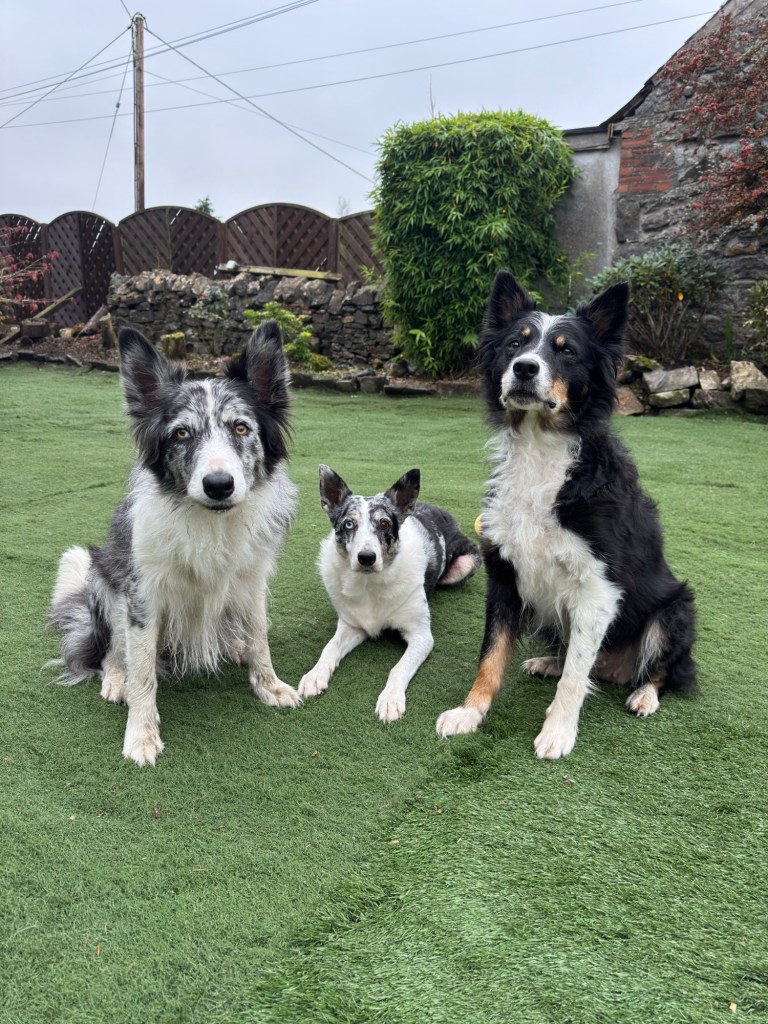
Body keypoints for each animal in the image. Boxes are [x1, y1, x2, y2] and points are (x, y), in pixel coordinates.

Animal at [48, 322, 300, 766]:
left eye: (241, 427)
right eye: (182, 433)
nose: (219, 485)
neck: (210, 524)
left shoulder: (252, 580)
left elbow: (260, 635)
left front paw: (269, 686)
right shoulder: (141, 596)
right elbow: (143, 673)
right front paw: (141, 734)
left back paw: (233, 646)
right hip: (103, 579)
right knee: (111, 650)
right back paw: (116, 678)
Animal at [298, 466, 482, 721]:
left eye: (384, 524)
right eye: (348, 524)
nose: (366, 558)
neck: (370, 584)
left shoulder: (421, 636)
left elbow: (398, 668)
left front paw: (390, 699)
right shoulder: (352, 626)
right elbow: (330, 647)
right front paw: (315, 675)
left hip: (465, 564)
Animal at [436, 270, 697, 758]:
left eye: (566, 350)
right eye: (514, 345)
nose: (524, 368)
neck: (540, 450)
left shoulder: (597, 589)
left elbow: (576, 676)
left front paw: (558, 731)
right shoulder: (504, 575)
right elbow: (491, 656)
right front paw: (470, 712)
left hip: (675, 609)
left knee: (657, 669)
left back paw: (644, 694)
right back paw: (548, 662)